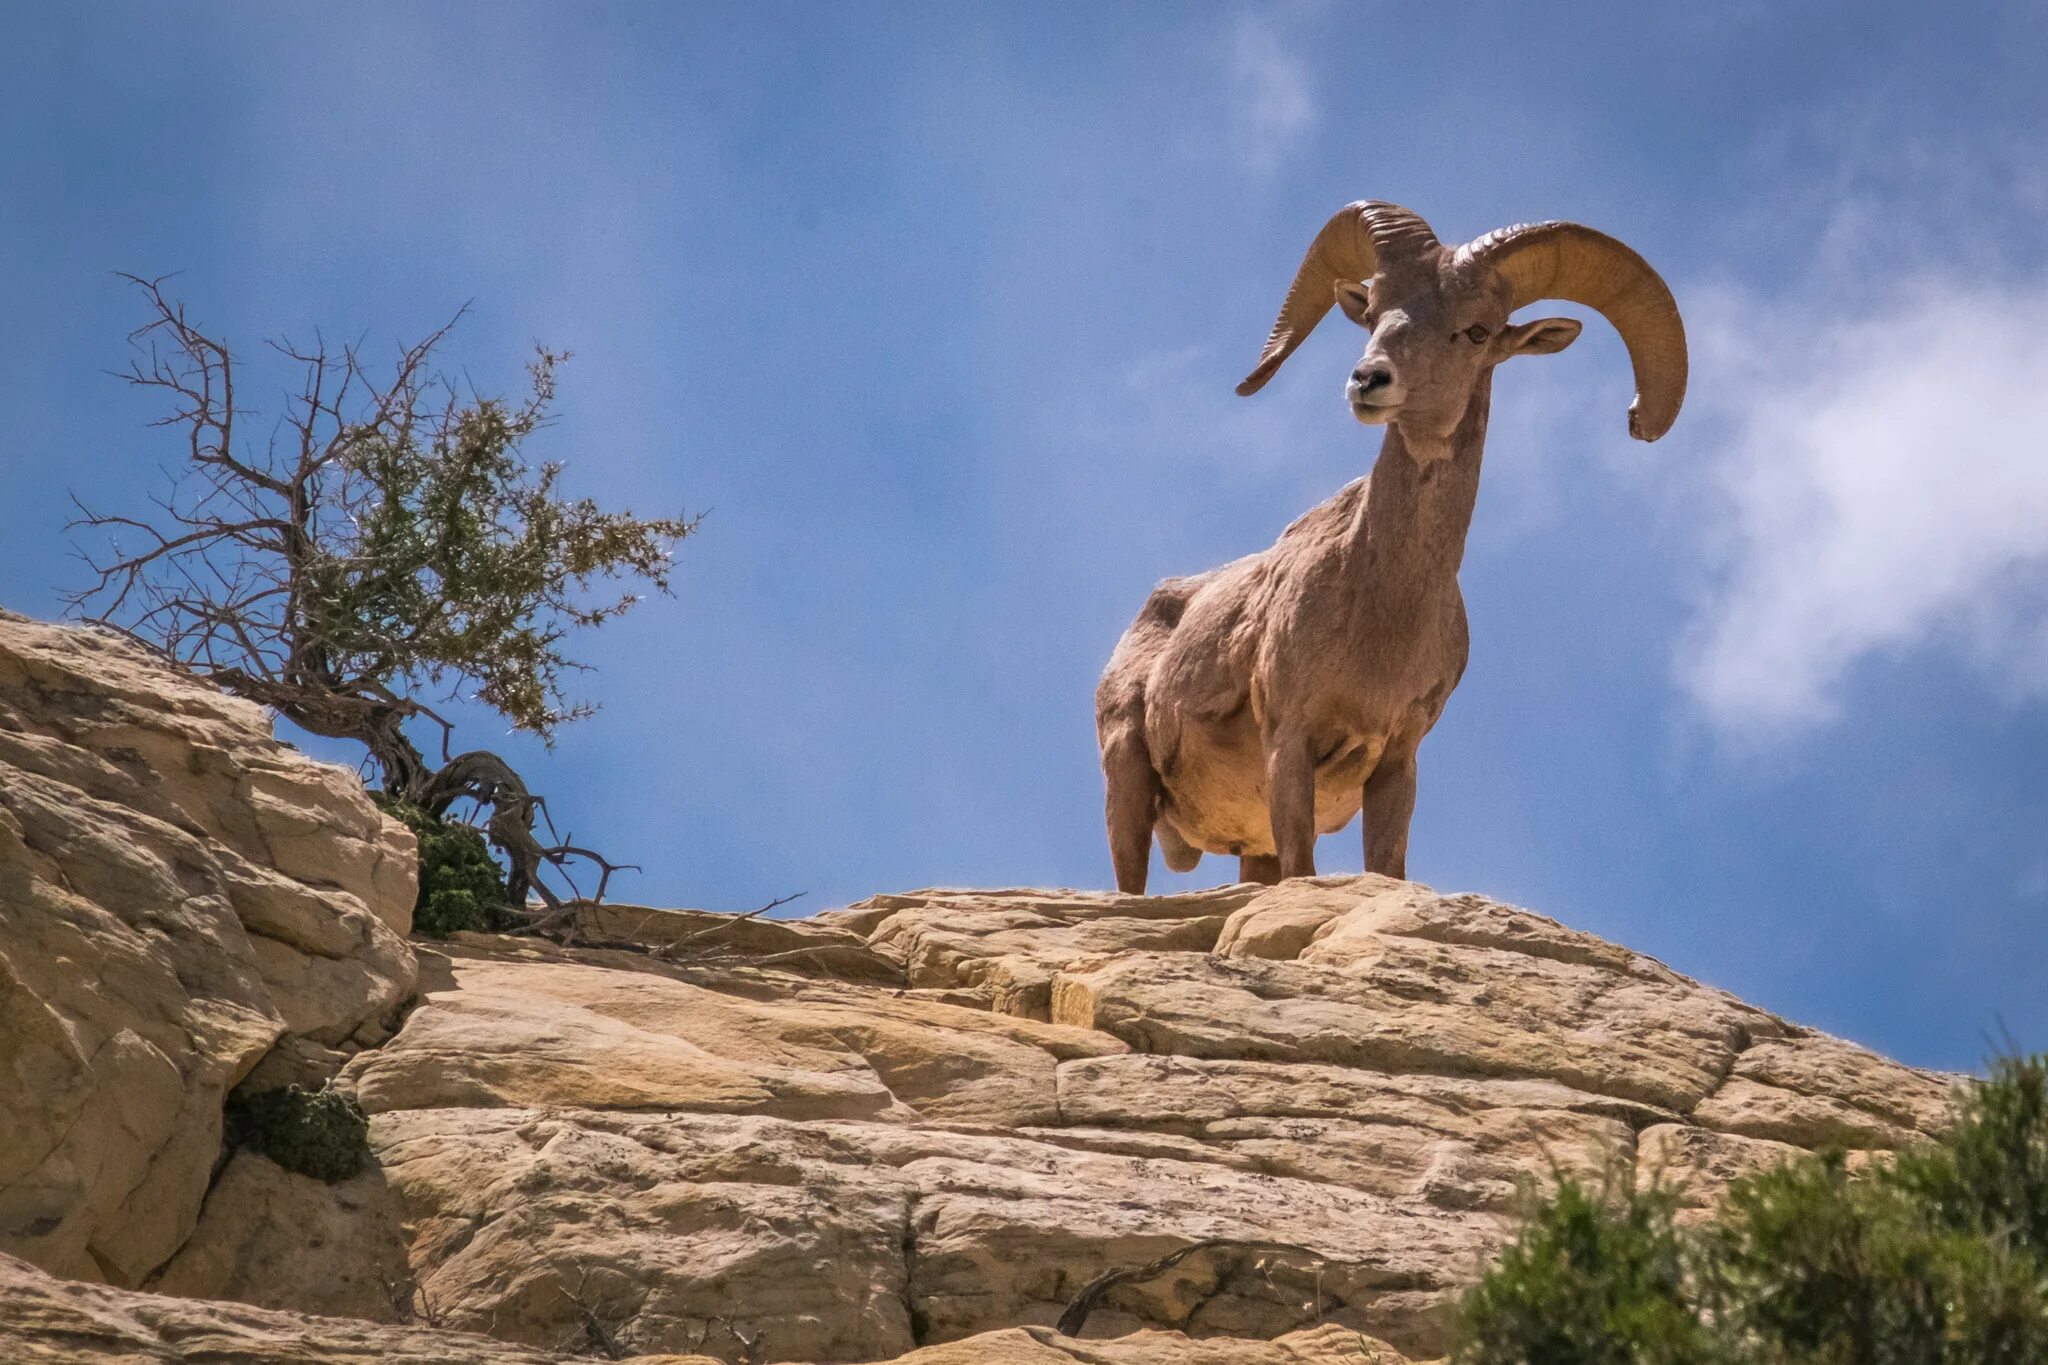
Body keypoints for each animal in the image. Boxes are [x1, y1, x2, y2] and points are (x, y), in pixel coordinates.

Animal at [1097, 197, 1687, 892]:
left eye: (1477, 331)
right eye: (1374, 313)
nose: (1367, 380)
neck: (1381, 610)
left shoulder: (1397, 760)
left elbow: (1386, 865)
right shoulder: (1290, 743)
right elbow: (1305, 868)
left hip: (1246, 844)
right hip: (1126, 784)